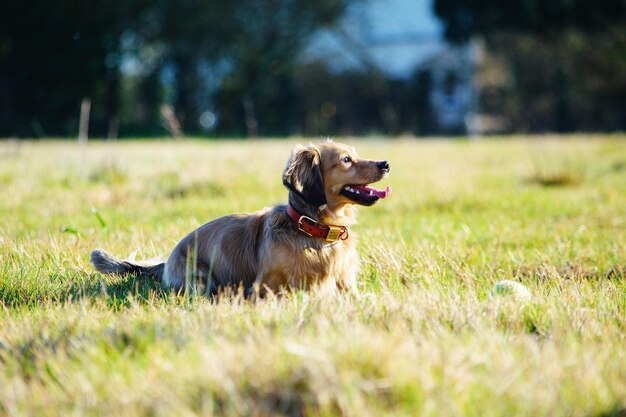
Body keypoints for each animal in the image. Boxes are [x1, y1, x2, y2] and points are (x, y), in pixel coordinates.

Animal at [89, 141, 388, 296]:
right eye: (346, 160)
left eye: (356, 154)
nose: (385, 164)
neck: (315, 233)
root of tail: (166, 262)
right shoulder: (265, 288)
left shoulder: (348, 288)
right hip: (201, 280)